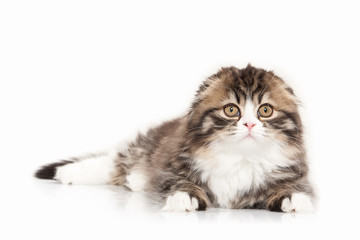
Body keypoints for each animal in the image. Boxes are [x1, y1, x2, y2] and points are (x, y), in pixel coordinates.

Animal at [35, 64, 314, 212]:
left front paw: (294, 199)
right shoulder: (171, 169)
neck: (240, 159)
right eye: (231, 110)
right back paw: (69, 173)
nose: (249, 124)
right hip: (142, 148)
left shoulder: (294, 175)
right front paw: (185, 198)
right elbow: (181, 184)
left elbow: (289, 189)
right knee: (114, 162)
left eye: (265, 111)